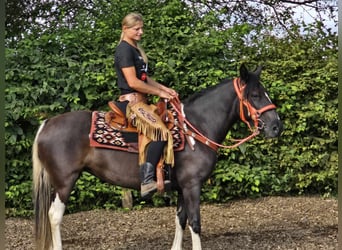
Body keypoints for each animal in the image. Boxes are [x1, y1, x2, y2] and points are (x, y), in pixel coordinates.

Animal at [32, 63, 284, 249]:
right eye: (254, 94)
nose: (276, 127)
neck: (196, 127)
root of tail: (47, 124)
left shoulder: (182, 187)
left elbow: (180, 220)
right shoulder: (192, 185)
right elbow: (195, 223)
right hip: (64, 181)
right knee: (55, 216)